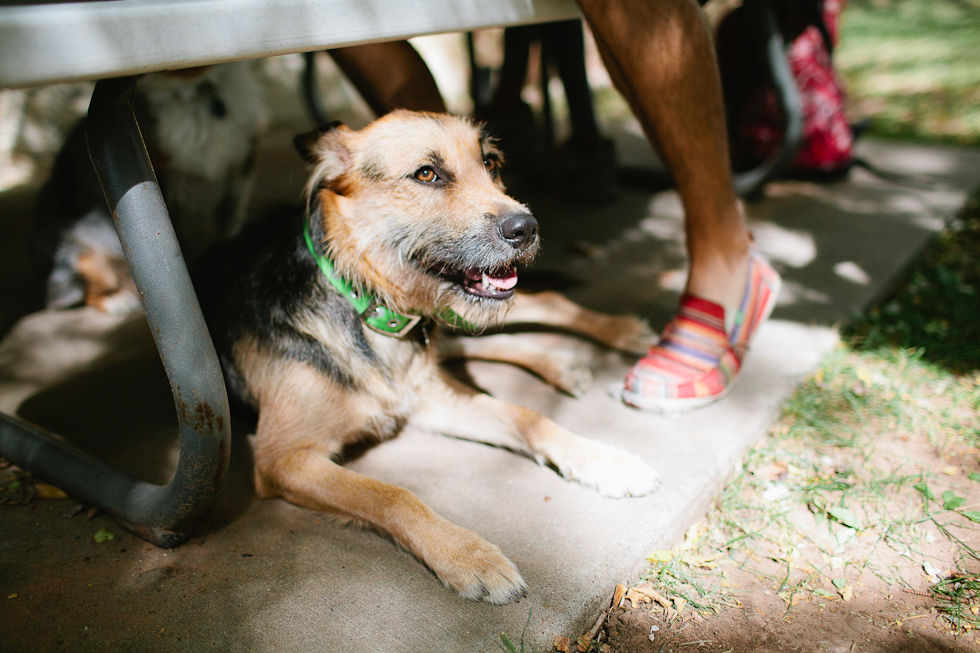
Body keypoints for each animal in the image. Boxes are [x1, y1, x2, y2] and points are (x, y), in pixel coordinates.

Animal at [193, 109, 660, 604]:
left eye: (490, 162)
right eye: (426, 174)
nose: (527, 228)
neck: (366, 300)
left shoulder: (426, 396)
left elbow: (527, 416)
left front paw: (603, 460)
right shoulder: (283, 458)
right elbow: (390, 494)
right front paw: (468, 556)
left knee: (541, 303)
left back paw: (617, 334)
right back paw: (563, 365)